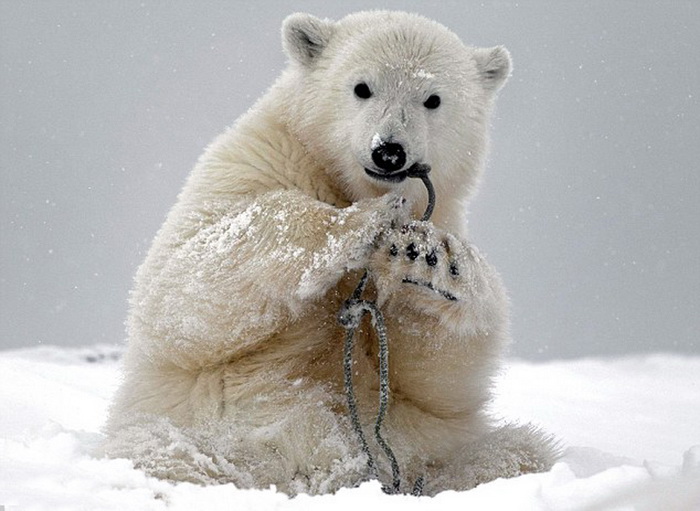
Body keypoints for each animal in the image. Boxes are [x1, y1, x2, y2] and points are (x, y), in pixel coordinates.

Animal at [104, 11, 556, 496]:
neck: (343, 179)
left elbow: (435, 382)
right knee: (162, 452)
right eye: (362, 87)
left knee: (520, 451)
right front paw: (358, 223)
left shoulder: (446, 212)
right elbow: (180, 293)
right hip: (204, 437)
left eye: (433, 99)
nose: (389, 151)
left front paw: (427, 259)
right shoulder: (250, 164)